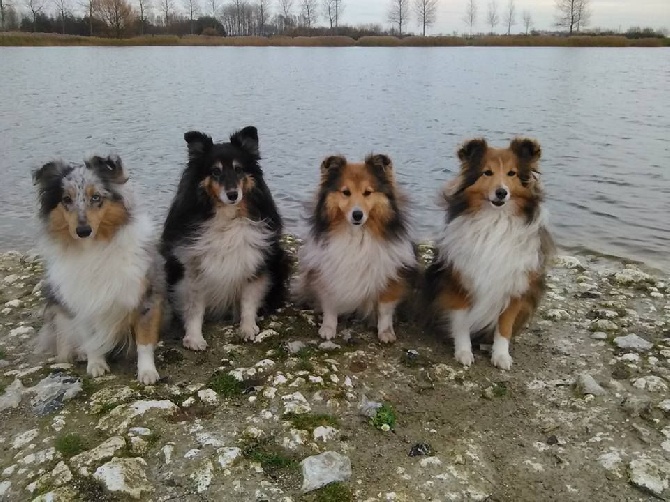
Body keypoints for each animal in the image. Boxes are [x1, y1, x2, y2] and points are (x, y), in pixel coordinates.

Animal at [34, 155, 164, 382]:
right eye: (66, 199)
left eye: (96, 197)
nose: (83, 230)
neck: (93, 247)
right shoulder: (82, 303)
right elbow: (91, 339)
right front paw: (95, 364)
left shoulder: (145, 296)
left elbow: (145, 341)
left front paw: (147, 372)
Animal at [162, 127, 292, 352]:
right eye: (215, 171)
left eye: (238, 170)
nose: (232, 195)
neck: (227, 216)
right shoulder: (193, 268)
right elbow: (194, 307)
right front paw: (194, 338)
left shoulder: (254, 262)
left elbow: (249, 299)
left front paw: (248, 328)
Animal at [296, 153, 418, 342]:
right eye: (346, 192)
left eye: (367, 192)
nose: (357, 215)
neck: (356, 233)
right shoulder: (327, 273)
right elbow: (330, 303)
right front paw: (328, 328)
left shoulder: (389, 276)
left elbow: (385, 309)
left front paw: (386, 332)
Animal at [428, 137, 552, 368]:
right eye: (487, 172)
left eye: (512, 173)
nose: (501, 192)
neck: (495, 219)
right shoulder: (460, 282)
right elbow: (462, 322)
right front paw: (463, 352)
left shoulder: (513, 286)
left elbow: (504, 326)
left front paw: (501, 355)